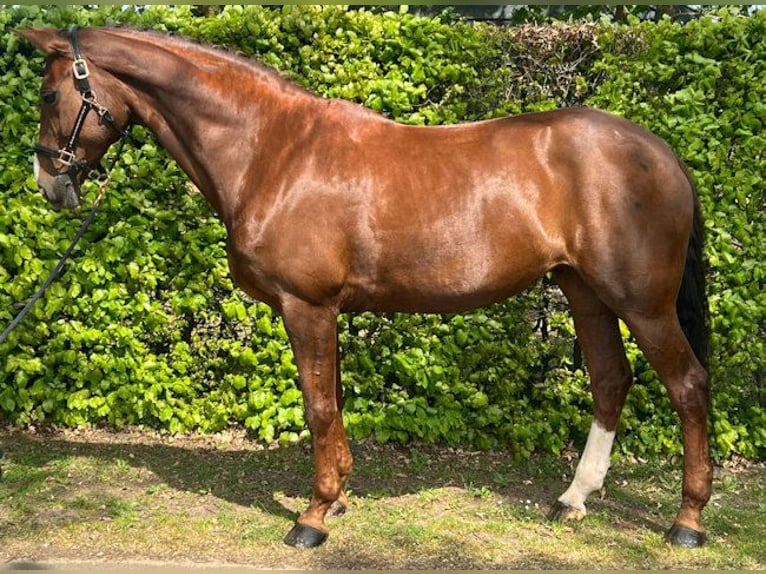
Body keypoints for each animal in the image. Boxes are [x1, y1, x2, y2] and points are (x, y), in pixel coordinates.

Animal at [18, 26, 712, 549]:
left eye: (50, 93)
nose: (48, 183)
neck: (273, 151)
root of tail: (664, 154)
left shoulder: (307, 307)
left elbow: (319, 406)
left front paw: (313, 518)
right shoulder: (324, 311)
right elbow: (333, 402)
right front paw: (339, 500)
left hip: (642, 303)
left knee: (687, 385)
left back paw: (687, 522)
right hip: (583, 291)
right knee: (611, 380)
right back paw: (574, 498)